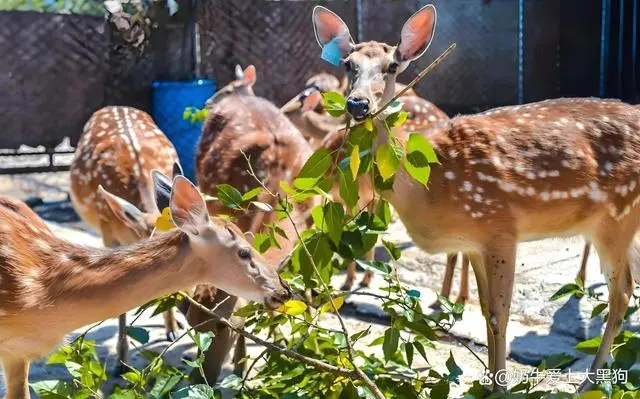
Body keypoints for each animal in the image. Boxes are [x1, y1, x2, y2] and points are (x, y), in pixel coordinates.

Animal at [312, 4, 640, 392]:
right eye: (349, 64)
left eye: (392, 66)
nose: (357, 104)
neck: (427, 188)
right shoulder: (472, 243)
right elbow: (484, 313)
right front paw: (486, 382)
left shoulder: (500, 227)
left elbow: (500, 315)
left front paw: (500, 387)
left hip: (616, 217)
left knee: (621, 294)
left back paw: (589, 384)